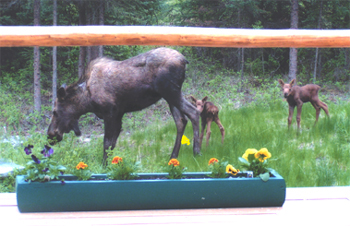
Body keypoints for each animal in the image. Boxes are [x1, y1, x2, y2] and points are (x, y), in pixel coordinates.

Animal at [47, 48, 200, 164]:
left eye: (54, 112)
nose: (50, 135)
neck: (87, 99)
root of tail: (184, 60)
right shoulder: (119, 113)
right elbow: (113, 143)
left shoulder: (110, 112)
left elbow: (107, 142)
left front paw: (104, 166)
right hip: (170, 96)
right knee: (181, 120)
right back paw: (173, 156)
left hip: (170, 92)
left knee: (194, 112)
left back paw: (197, 152)